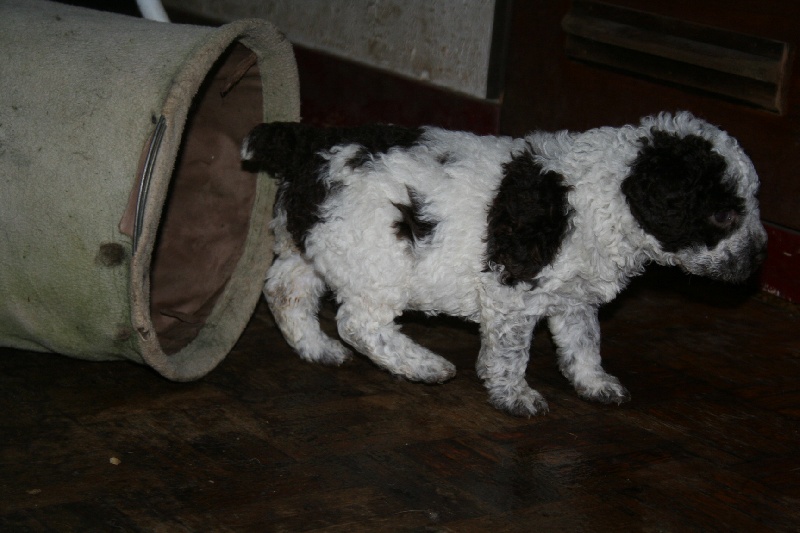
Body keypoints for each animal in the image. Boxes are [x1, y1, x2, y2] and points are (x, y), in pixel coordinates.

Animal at [241, 112, 767, 416]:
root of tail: (313, 146)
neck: (603, 195)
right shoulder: (514, 291)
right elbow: (511, 352)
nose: (758, 261)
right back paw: (424, 365)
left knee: (284, 289)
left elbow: (584, 342)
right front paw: (515, 395)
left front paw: (594, 383)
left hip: (316, 244)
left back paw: (316, 348)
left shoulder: (573, 297)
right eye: (723, 215)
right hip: (376, 261)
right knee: (358, 323)